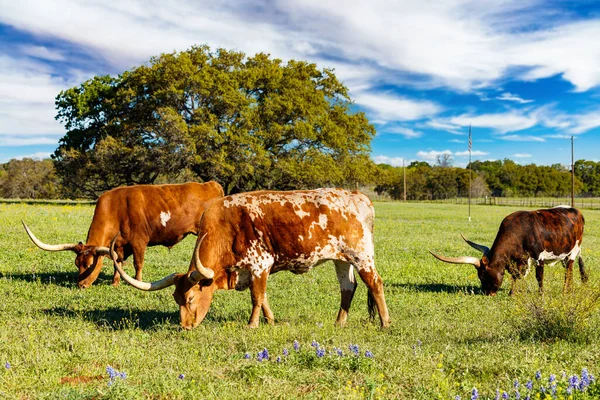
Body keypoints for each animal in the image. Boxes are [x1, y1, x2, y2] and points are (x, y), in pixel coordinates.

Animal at [22, 183, 225, 290]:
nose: (81, 285)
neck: (115, 209)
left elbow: (137, 263)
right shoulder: (118, 245)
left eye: (90, 264)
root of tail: (211, 184)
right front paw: (115, 282)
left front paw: (138, 282)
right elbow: (116, 263)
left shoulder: (139, 242)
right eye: (77, 263)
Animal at [109, 189, 392, 330]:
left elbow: (256, 297)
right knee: (348, 288)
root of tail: (358, 196)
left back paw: (385, 323)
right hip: (341, 259)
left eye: (189, 299)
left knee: (375, 284)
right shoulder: (251, 270)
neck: (227, 225)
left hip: (361, 256)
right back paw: (339, 322)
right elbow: (263, 296)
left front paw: (253, 324)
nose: (186, 327)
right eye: (176, 299)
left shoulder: (260, 264)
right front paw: (270, 320)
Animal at [428, 205, 588, 296]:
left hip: (574, 250)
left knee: (569, 270)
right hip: (565, 254)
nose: (488, 293)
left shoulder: (538, 257)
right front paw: (512, 293)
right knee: (569, 270)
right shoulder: (518, 259)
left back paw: (565, 291)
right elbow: (515, 275)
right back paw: (569, 289)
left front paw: (540, 294)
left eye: (483, 276)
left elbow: (539, 277)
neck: (520, 231)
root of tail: (577, 211)